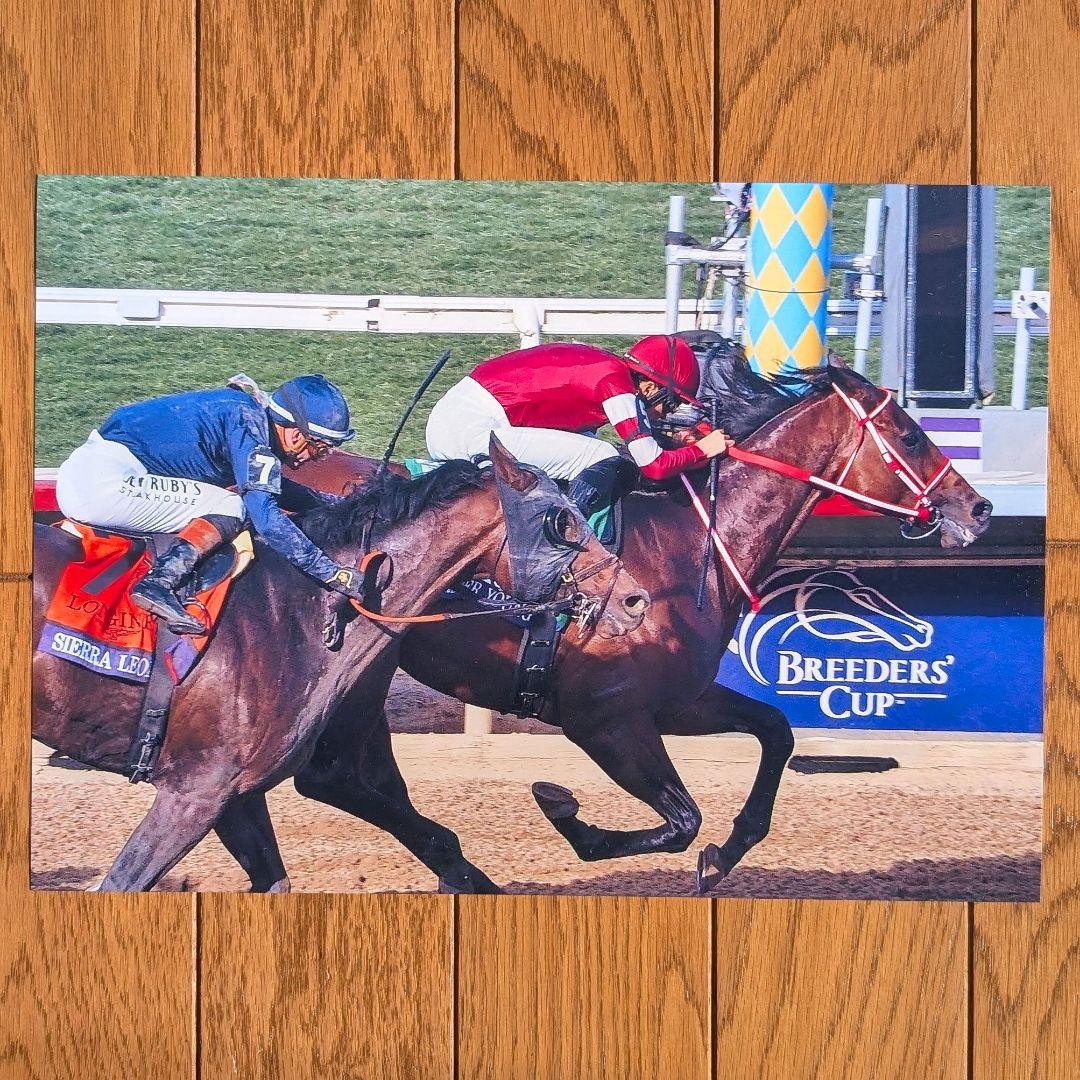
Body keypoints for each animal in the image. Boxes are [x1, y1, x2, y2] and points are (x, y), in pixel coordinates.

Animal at [32, 438, 650, 892]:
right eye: (561, 522)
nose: (634, 599)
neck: (297, 609)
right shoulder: (194, 790)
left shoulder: (235, 795)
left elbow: (276, 880)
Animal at [291, 350, 993, 893]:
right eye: (910, 435)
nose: (979, 509)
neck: (693, 545)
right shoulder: (604, 718)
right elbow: (681, 819)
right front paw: (570, 816)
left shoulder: (678, 701)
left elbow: (776, 732)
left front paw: (723, 857)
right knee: (332, 775)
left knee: (356, 779)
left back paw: (457, 870)